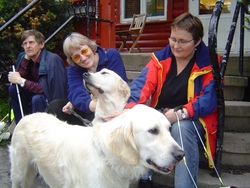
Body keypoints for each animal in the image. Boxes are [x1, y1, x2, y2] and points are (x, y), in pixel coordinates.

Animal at [8, 104, 185, 188]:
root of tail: (27, 116)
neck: (107, 158)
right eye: (153, 130)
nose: (181, 155)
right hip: (19, 170)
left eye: (169, 128)